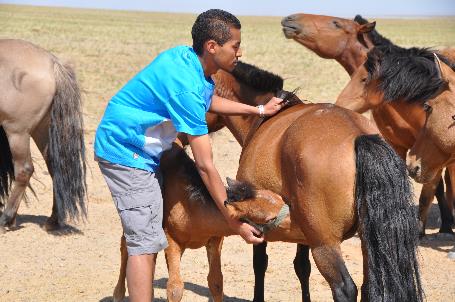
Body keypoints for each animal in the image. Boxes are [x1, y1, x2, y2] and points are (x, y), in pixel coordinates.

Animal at [0, 39, 87, 232]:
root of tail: (52, 62)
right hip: (42, 131)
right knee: (56, 169)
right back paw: (52, 220)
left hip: (18, 133)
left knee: (24, 170)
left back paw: (5, 219)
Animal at [112, 142, 286, 302]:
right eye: (270, 218)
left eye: (280, 199)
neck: (192, 207)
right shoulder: (171, 239)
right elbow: (175, 289)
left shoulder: (216, 239)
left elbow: (216, 282)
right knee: (127, 246)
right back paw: (118, 294)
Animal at [284, 13, 454, 236]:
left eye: (336, 23)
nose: (290, 19)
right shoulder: (403, 148)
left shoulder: (433, 153)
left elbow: (429, 192)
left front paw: (421, 230)